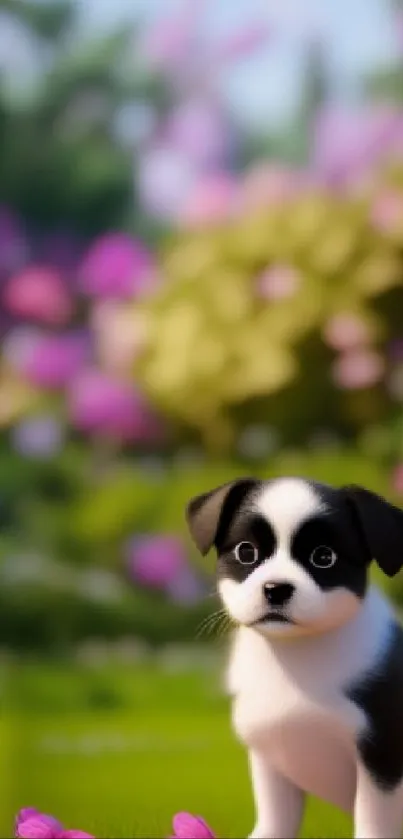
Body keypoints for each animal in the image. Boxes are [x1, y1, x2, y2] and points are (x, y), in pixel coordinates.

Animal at [187, 480, 403, 839]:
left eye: (324, 557)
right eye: (246, 552)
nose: (276, 588)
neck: (293, 656)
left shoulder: (381, 754)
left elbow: (374, 816)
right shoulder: (271, 754)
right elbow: (276, 814)